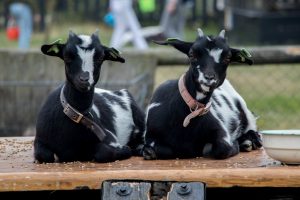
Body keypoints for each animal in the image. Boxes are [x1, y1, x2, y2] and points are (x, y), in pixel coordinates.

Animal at [33, 30, 145, 162]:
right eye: (67, 56)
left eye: (100, 58)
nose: (84, 79)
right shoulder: (40, 140)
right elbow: (44, 154)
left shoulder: (110, 138)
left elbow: (104, 152)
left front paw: (124, 149)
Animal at [142, 28, 262, 159]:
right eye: (191, 54)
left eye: (228, 58)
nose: (209, 78)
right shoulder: (151, 138)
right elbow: (155, 150)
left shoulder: (222, 133)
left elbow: (223, 149)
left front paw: (236, 143)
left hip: (248, 118)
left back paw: (248, 141)